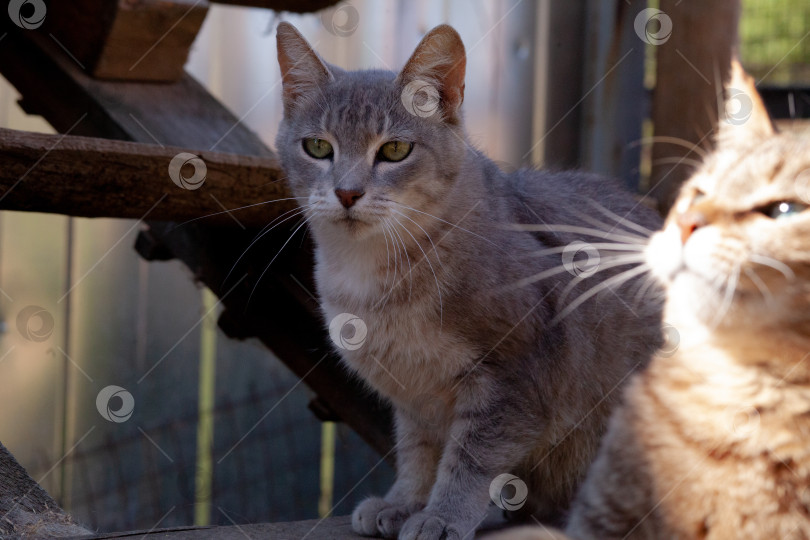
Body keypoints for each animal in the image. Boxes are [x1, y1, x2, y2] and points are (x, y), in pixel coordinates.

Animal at [274, 22, 660, 540]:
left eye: (394, 150)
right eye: (317, 147)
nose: (347, 192)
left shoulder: (516, 375)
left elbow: (471, 460)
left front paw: (442, 515)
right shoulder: (415, 396)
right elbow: (417, 452)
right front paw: (404, 502)